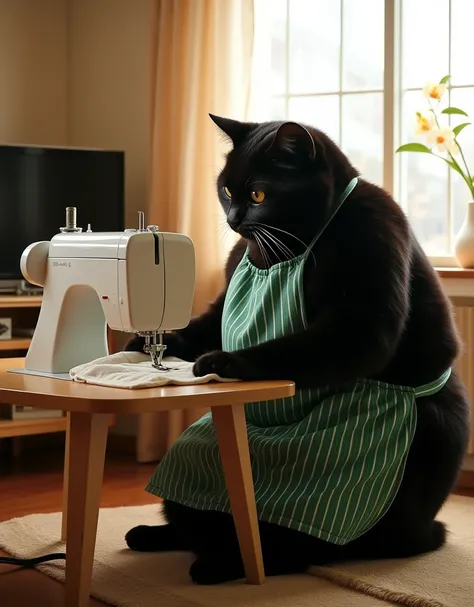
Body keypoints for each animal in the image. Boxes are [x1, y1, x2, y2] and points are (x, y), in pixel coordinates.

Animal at [123, 114, 470, 584]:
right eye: (227, 190)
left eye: (258, 194)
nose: (233, 218)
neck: (287, 250)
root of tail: (427, 529)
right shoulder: (225, 291)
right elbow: (205, 325)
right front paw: (146, 342)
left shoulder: (362, 306)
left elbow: (294, 346)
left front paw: (223, 361)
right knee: (193, 520)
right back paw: (149, 535)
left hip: (424, 445)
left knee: (308, 550)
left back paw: (217, 566)